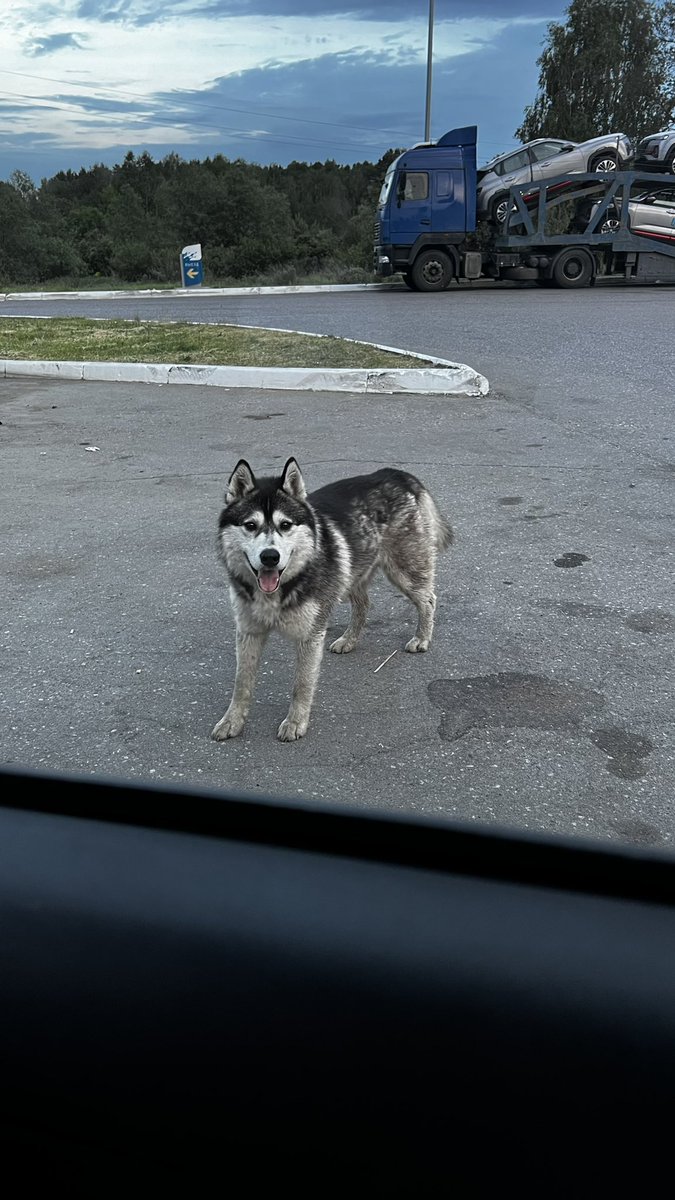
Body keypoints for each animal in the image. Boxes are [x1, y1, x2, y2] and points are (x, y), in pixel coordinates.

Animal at [211, 458, 451, 739]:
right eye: (250, 525)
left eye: (285, 525)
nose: (270, 556)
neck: (282, 586)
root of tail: (394, 473)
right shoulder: (248, 633)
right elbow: (242, 682)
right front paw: (232, 720)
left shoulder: (310, 636)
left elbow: (302, 683)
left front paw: (296, 721)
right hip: (351, 574)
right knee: (363, 604)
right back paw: (349, 639)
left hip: (403, 570)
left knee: (428, 599)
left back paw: (422, 637)